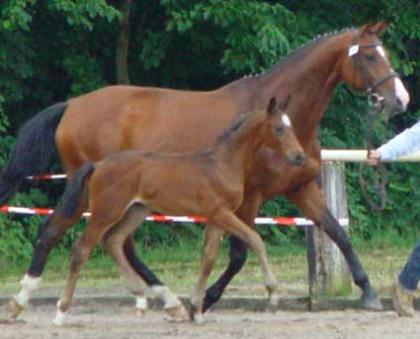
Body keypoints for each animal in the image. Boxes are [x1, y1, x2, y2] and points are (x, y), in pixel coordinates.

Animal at [50, 98, 306, 326]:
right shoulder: (221, 212)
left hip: (136, 210)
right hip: (106, 211)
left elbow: (208, 258)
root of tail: (98, 165)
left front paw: (197, 309)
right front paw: (273, 294)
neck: (221, 163)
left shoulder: (215, 218)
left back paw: (141, 299)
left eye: (292, 126)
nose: (299, 156)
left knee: (113, 240)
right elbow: (255, 239)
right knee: (82, 249)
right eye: (279, 128)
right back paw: (61, 312)